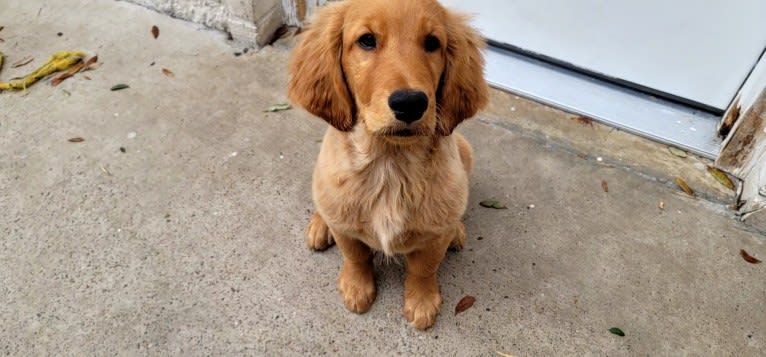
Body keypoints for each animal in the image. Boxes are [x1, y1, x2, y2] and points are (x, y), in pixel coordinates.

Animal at [288, 0, 492, 328]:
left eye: (432, 43)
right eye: (367, 40)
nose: (410, 103)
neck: (390, 163)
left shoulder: (433, 238)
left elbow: (424, 268)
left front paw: (421, 301)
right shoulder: (347, 230)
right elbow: (355, 256)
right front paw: (356, 287)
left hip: (466, 150)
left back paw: (458, 229)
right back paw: (320, 225)